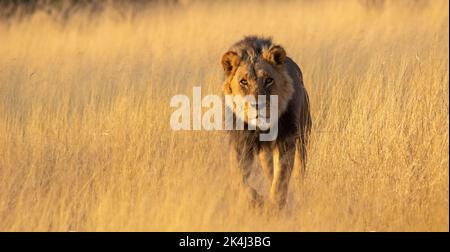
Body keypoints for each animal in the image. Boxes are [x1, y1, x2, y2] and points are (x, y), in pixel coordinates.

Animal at [220, 36, 312, 209]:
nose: (258, 105)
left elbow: (281, 178)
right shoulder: (240, 143)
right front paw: (255, 200)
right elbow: (240, 180)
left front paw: (274, 205)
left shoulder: (286, 139)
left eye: (269, 80)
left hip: (303, 137)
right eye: (243, 82)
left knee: (298, 169)